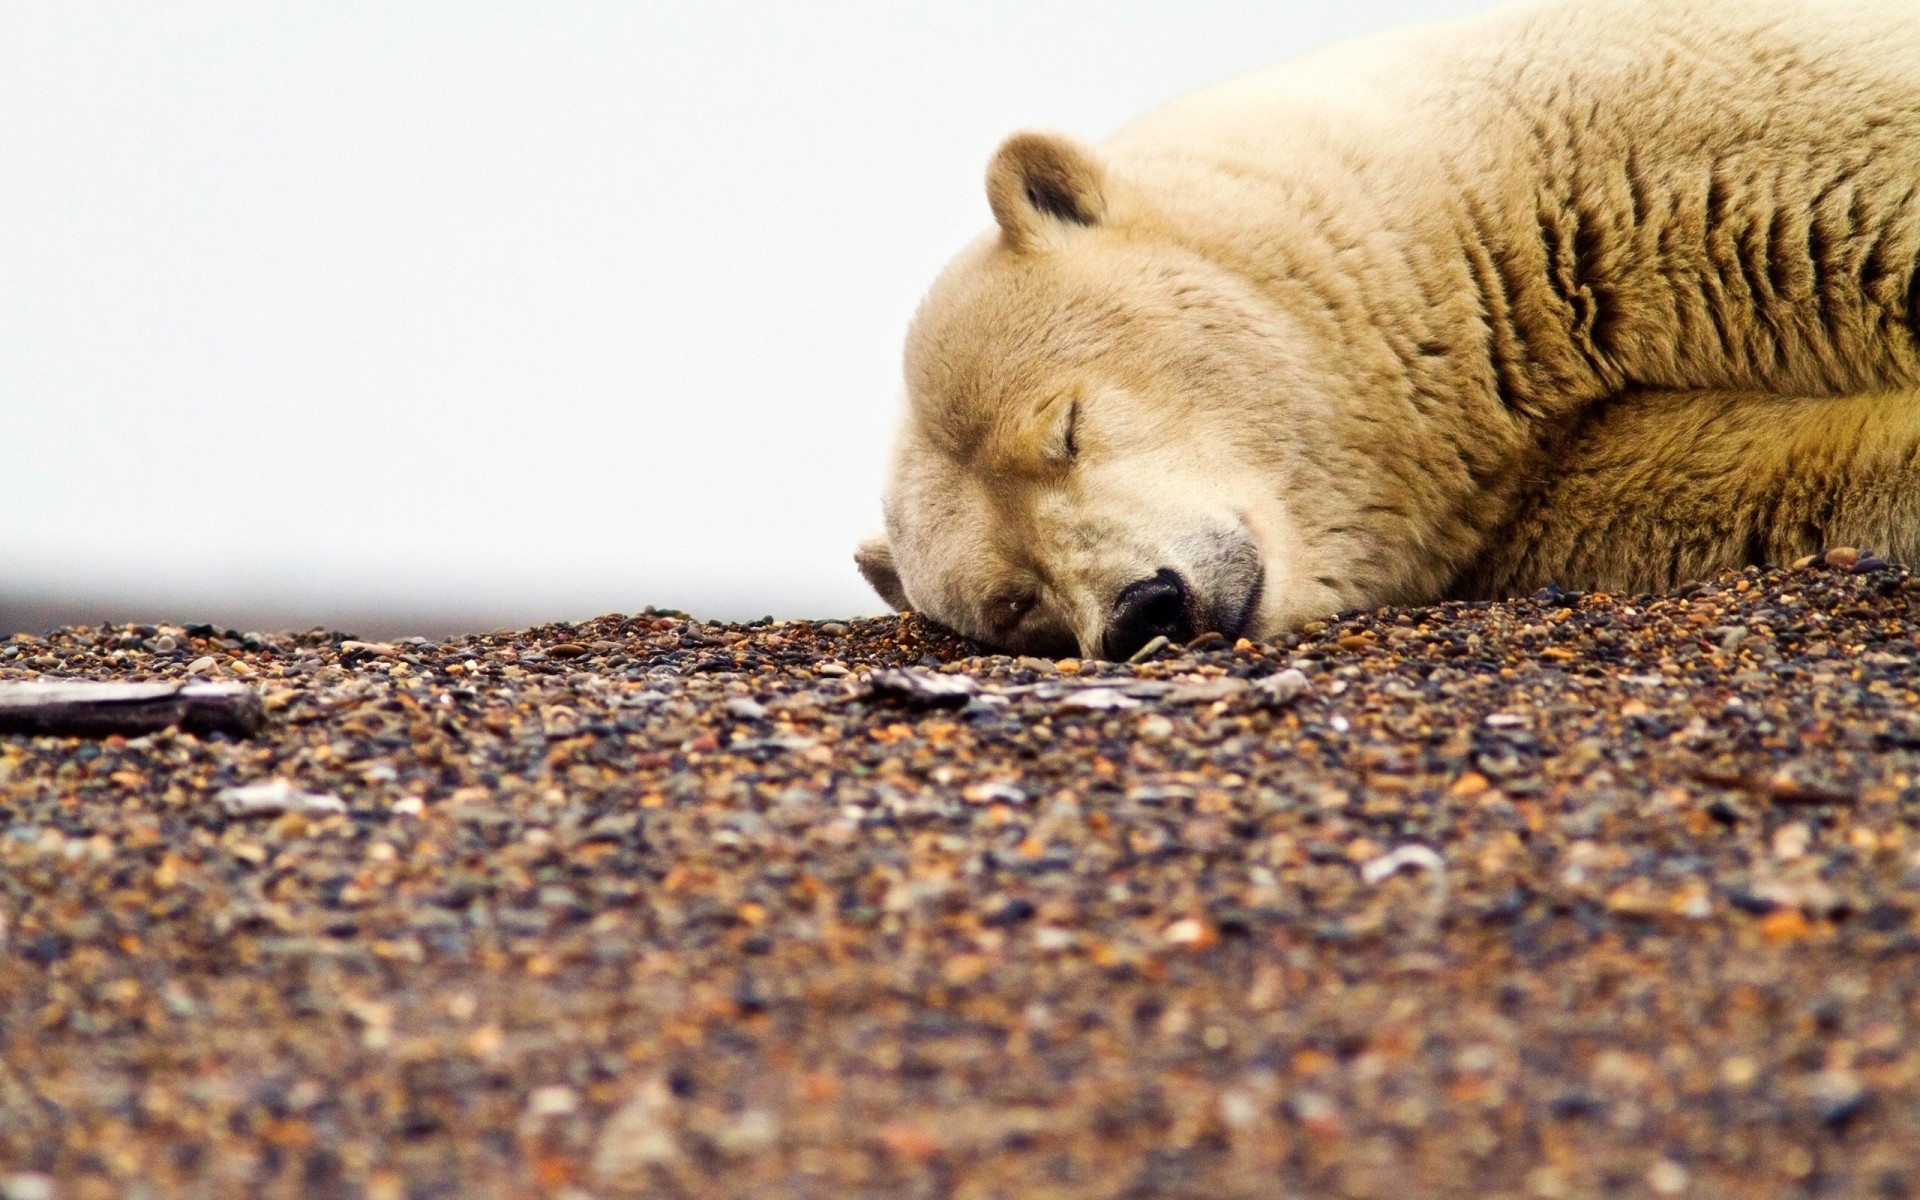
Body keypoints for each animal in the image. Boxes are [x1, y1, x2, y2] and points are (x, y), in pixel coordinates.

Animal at [856, 0, 1920, 656]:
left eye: (1066, 428)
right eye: (1013, 602)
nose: (1144, 607)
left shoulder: (1696, 119)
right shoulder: (1542, 485)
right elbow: (1765, 477)